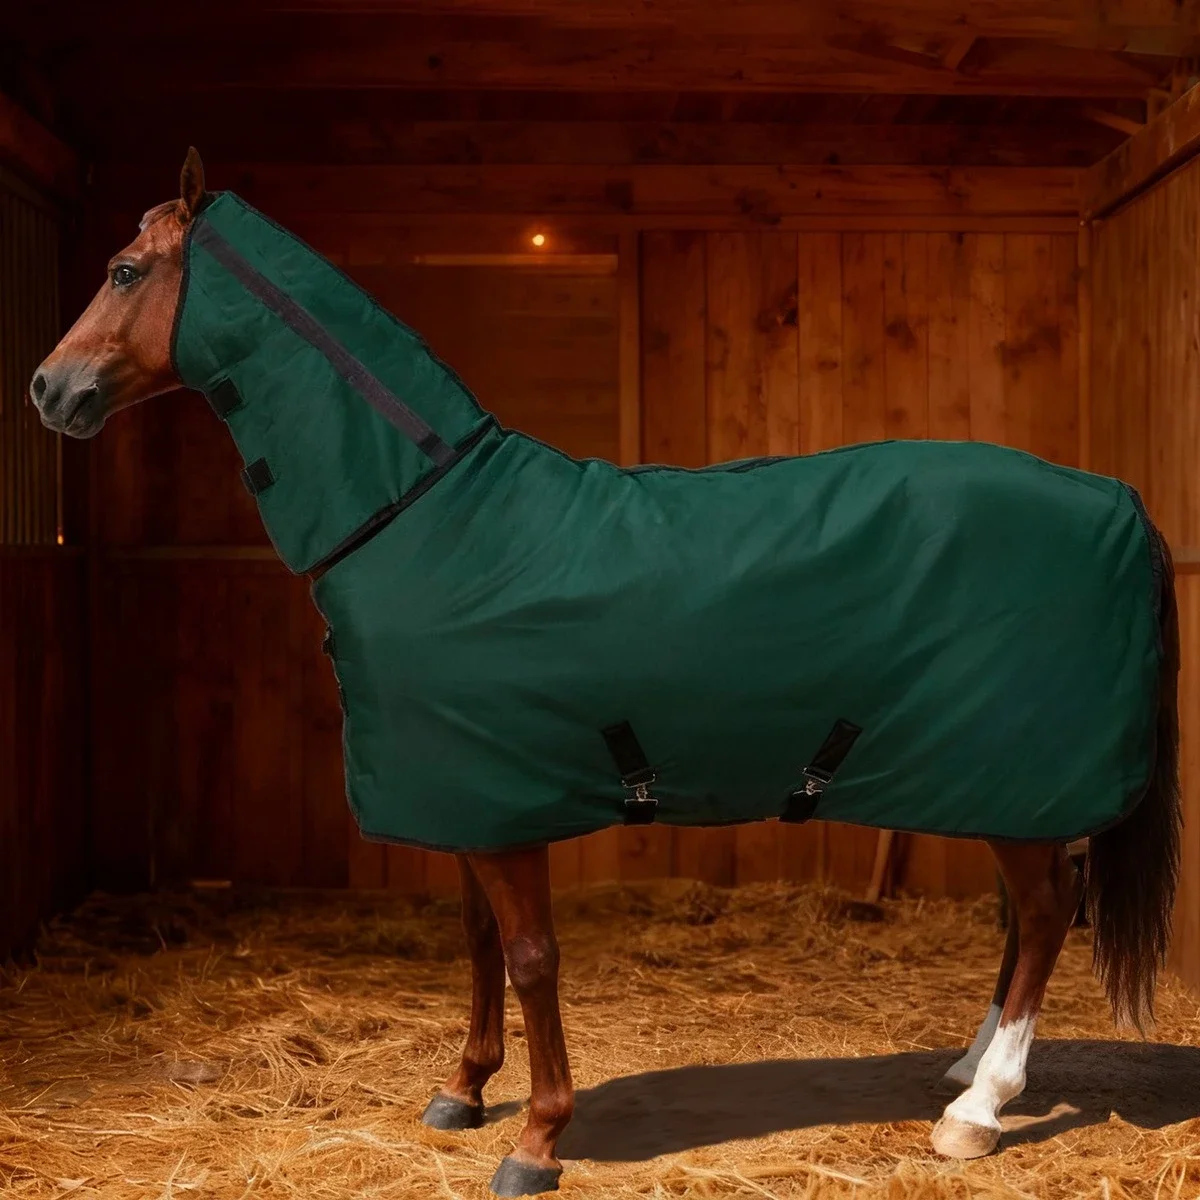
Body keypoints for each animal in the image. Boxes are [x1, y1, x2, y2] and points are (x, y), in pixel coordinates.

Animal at [32, 148, 1181, 1198]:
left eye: (127, 271)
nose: (48, 387)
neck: (426, 515)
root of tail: (1118, 500)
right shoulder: (465, 794)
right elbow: (478, 942)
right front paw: (463, 1090)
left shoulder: (504, 810)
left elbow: (532, 956)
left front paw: (539, 1138)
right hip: (1001, 783)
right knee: (1032, 912)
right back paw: (964, 1070)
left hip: (1014, 770)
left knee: (1047, 911)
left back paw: (978, 1111)